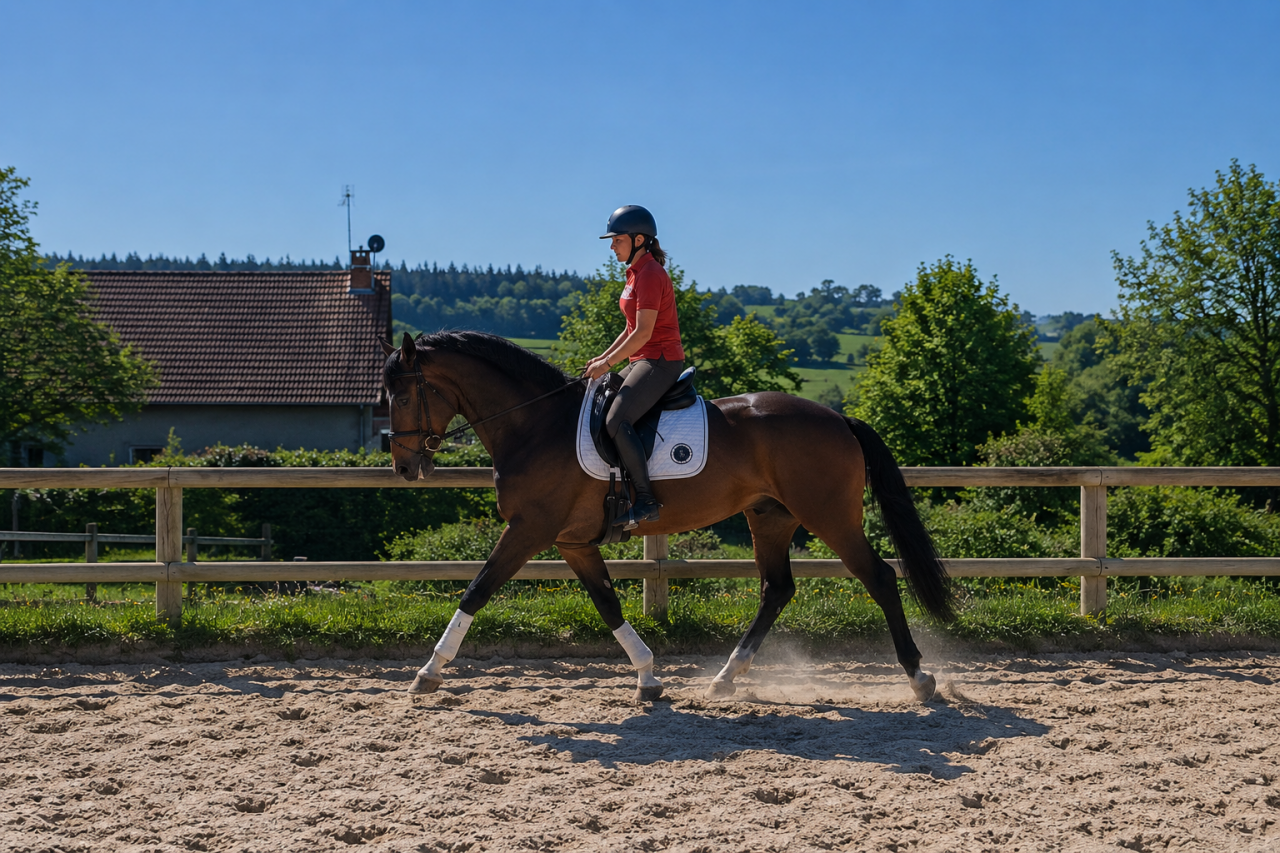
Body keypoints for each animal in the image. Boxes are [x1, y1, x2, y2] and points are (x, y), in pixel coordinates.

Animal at [380, 331, 954, 703]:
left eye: (403, 395)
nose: (406, 468)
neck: (536, 424)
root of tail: (837, 417)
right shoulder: (572, 542)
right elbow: (607, 604)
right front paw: (649, 679)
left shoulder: (529, 530)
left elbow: (476, 589)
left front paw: (429, 672)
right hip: (770, 518)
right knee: (777, 590)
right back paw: (726, 678)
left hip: (829, 516)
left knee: (879, 577)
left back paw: (919, 679)